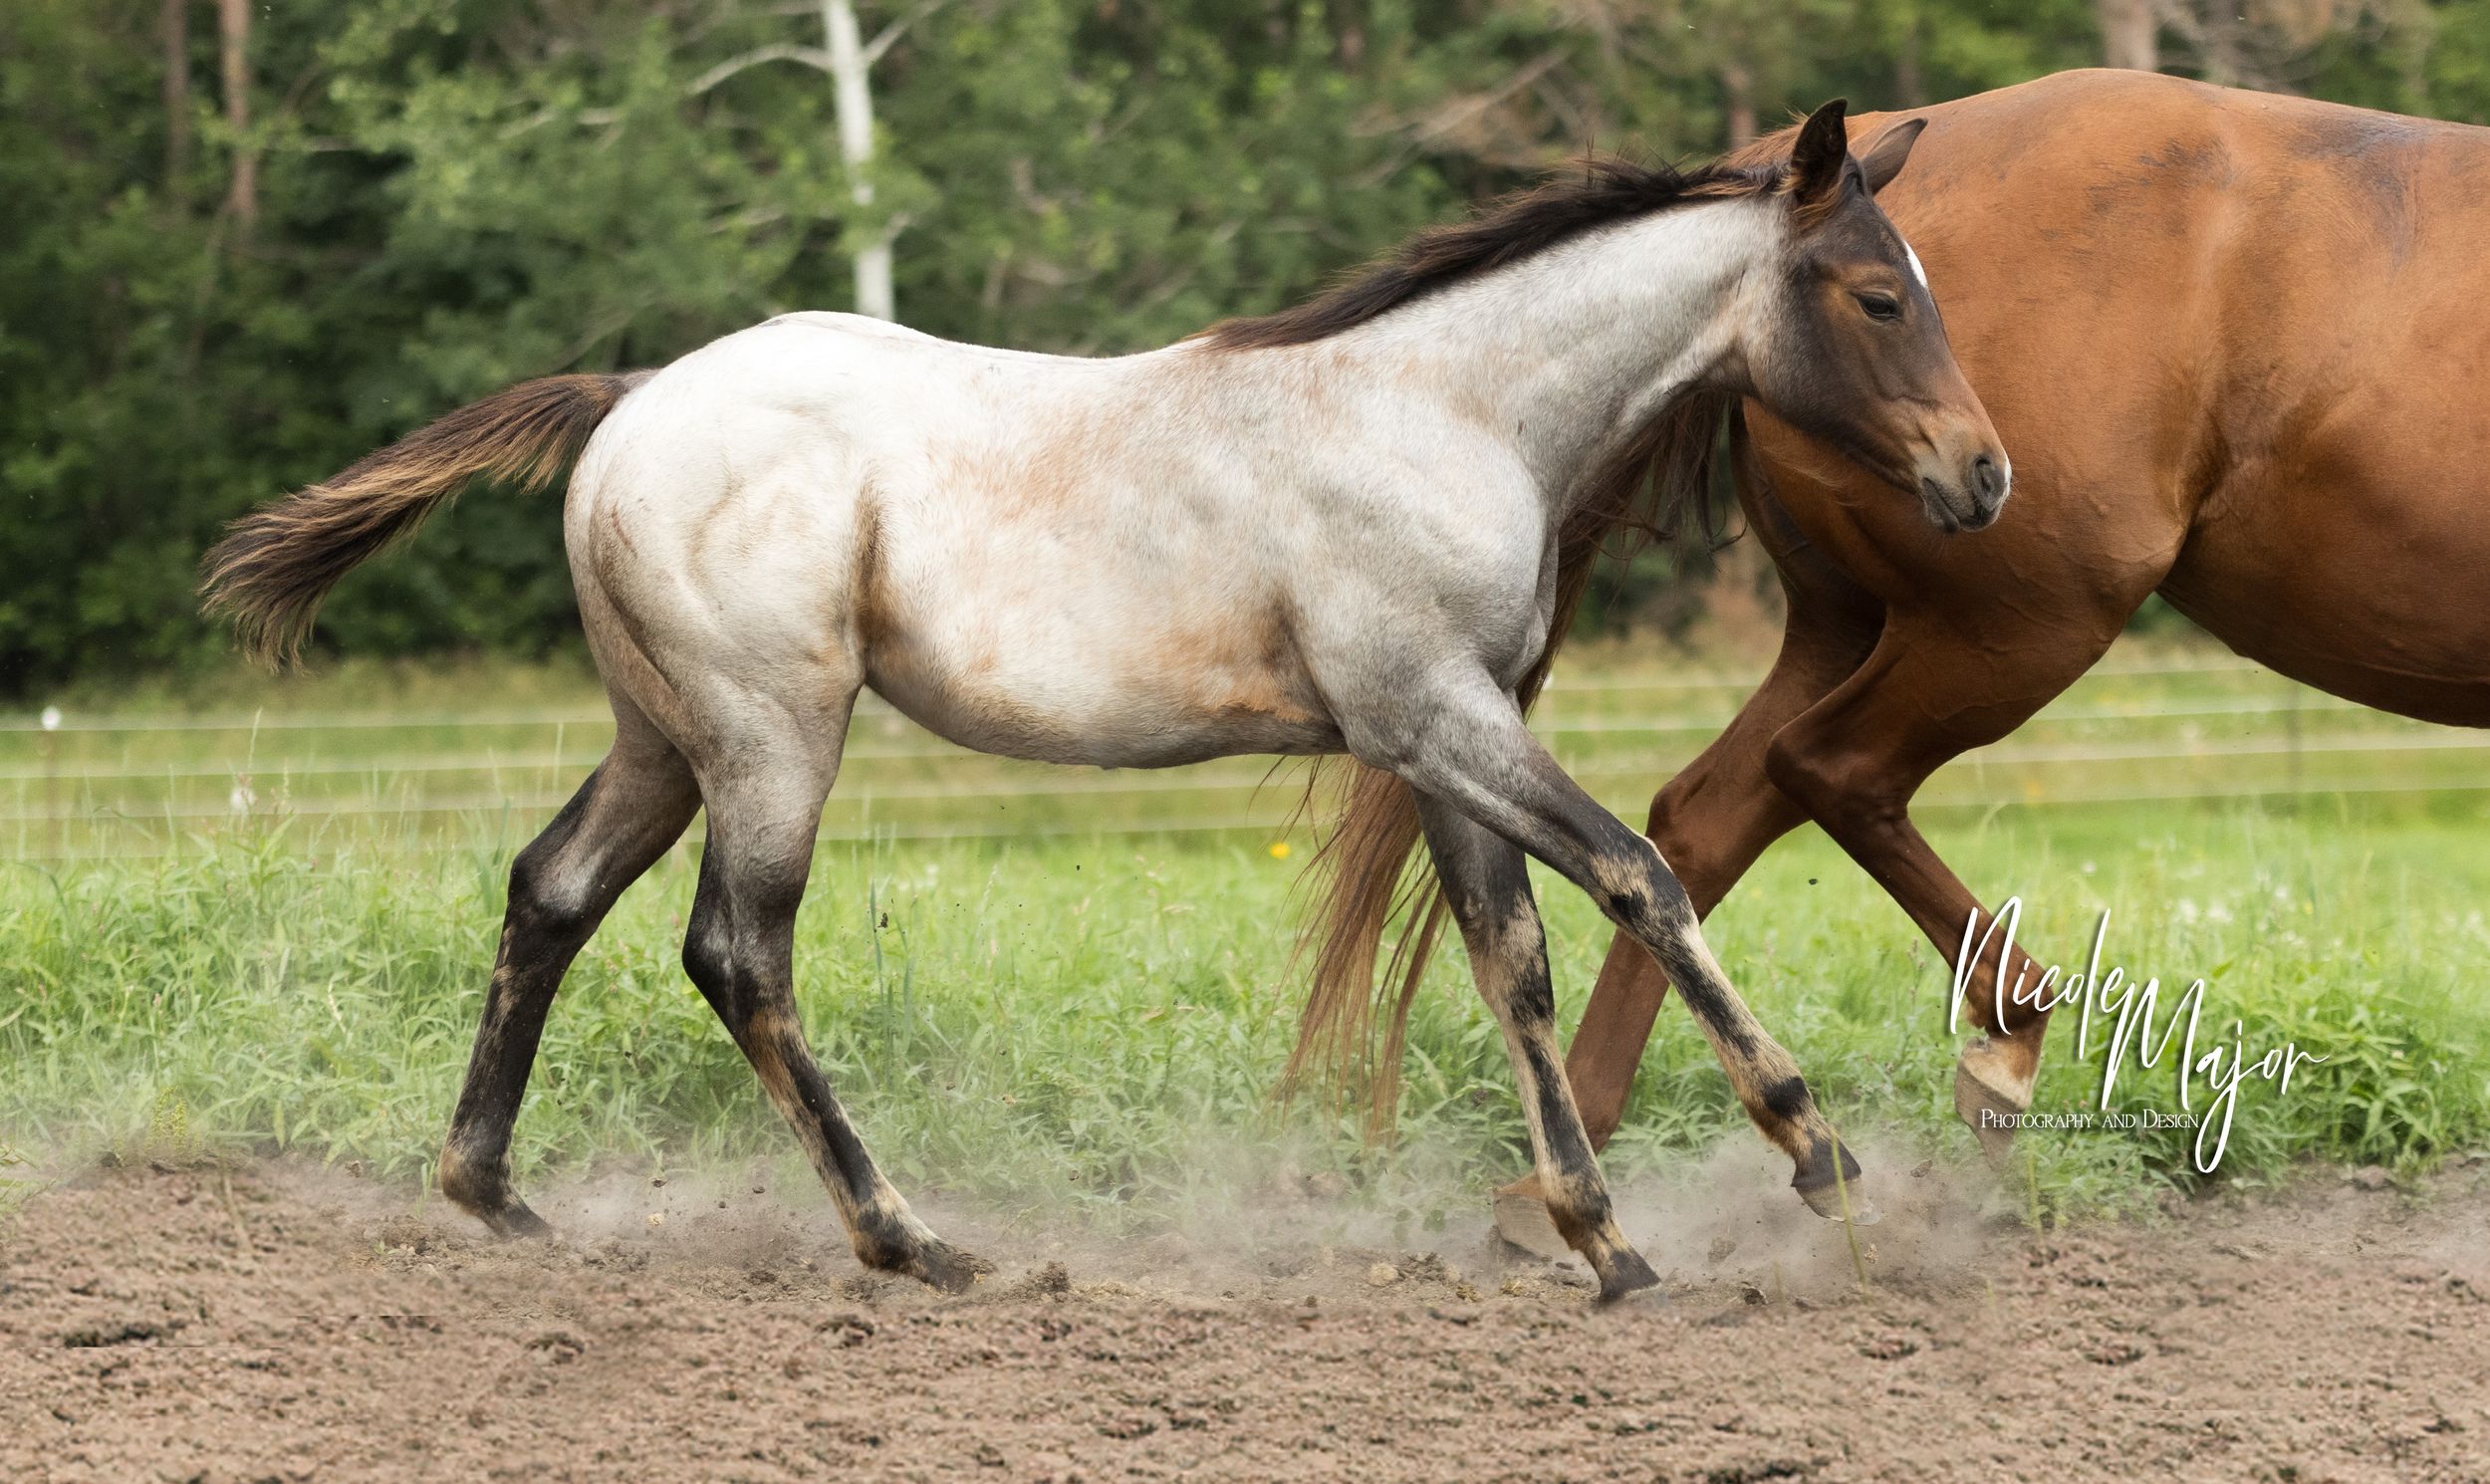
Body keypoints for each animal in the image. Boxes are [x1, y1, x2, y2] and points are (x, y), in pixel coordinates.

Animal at [201, 100, 2005, 1303]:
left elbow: (1514, 960)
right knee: (736, 954)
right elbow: (1637, 875)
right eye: (1877, 296)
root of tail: (635, 398)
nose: (1982, 478)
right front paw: (1815, 1153)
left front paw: (1606, 1241)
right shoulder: (1440, 718)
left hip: (667, 740)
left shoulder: (1439, 739)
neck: (1445, 410)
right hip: (775, 740)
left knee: (552, 891)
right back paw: (911, 1239)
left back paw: (492, 1196)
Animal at [1305, 68, 2490, 1254]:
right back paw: (2001, 1044)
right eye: (1885, 303)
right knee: (1829, 768)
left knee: (1702, 816)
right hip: (2012, 625)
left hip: (1848, 624)